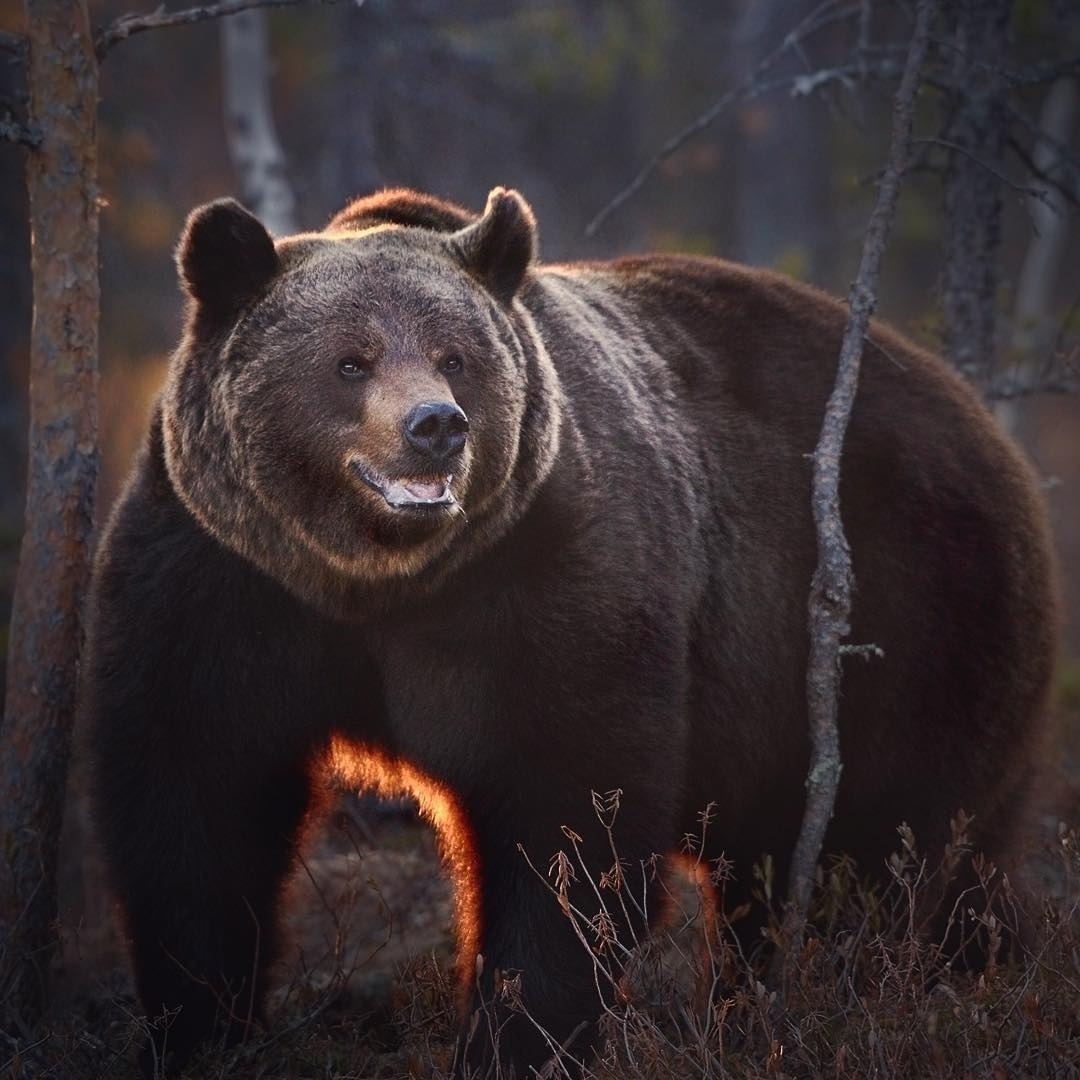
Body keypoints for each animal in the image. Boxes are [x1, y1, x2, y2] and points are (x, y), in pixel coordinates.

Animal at [82, 187, 1054, 1080]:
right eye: (350, 361)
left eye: (455, 356)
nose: (434, 425)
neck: (378, 583)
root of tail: (988, 431)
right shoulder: (224, 579)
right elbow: (195, 804)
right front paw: (197, 1025)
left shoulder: (556, 584)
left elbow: (569, 826)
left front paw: (515, 1038)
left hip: (910, 629)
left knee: (875, 858)